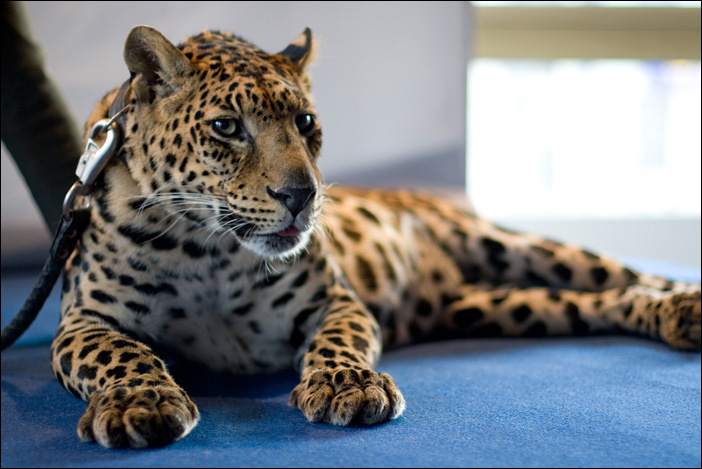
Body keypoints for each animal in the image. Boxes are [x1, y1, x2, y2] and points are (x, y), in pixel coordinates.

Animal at [49, 25, 701, 448]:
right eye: (226, 127)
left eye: (305, 122)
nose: (301, 195)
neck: (207, 249)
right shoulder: (86, 319)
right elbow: (120, 353)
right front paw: (140, 400)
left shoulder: (335, 302)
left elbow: (338, 342)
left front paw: (347, 385)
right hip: (497, 308)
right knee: (593, 302)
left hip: (514, 248)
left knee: (626, 274)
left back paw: (684, 305)